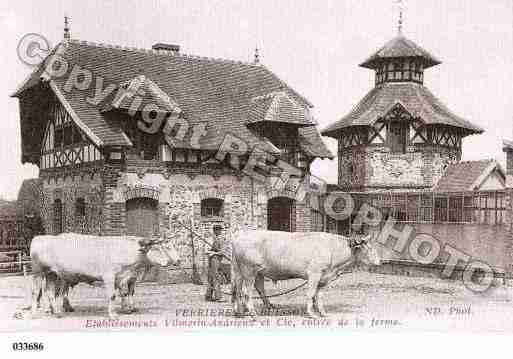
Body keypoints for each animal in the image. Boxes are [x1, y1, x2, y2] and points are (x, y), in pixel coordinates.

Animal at [30, 235, 180, 320]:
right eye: (158, 248)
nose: (177, 261)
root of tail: (39, 238)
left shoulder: (125, 278)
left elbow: (126, 293)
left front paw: (127, 309)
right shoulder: (109, 276)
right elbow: (113, 295)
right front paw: (114, 315)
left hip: (52, 274)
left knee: (50, 292)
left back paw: (57, 312)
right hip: (38, 272)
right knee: (36, 292)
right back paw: (35, 313)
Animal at [232, 231, 380, 318]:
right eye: (368, 248)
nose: (380, 261)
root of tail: (240, 235)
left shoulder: (324, 278)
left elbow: (319, 296)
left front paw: (322, 312)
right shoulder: (314, 274)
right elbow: (311, 294)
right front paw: (311, 313)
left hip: (242, 272)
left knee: (239, 290)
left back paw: (240, 311)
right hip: (249, 271)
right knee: (246, 291)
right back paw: (252, 312)